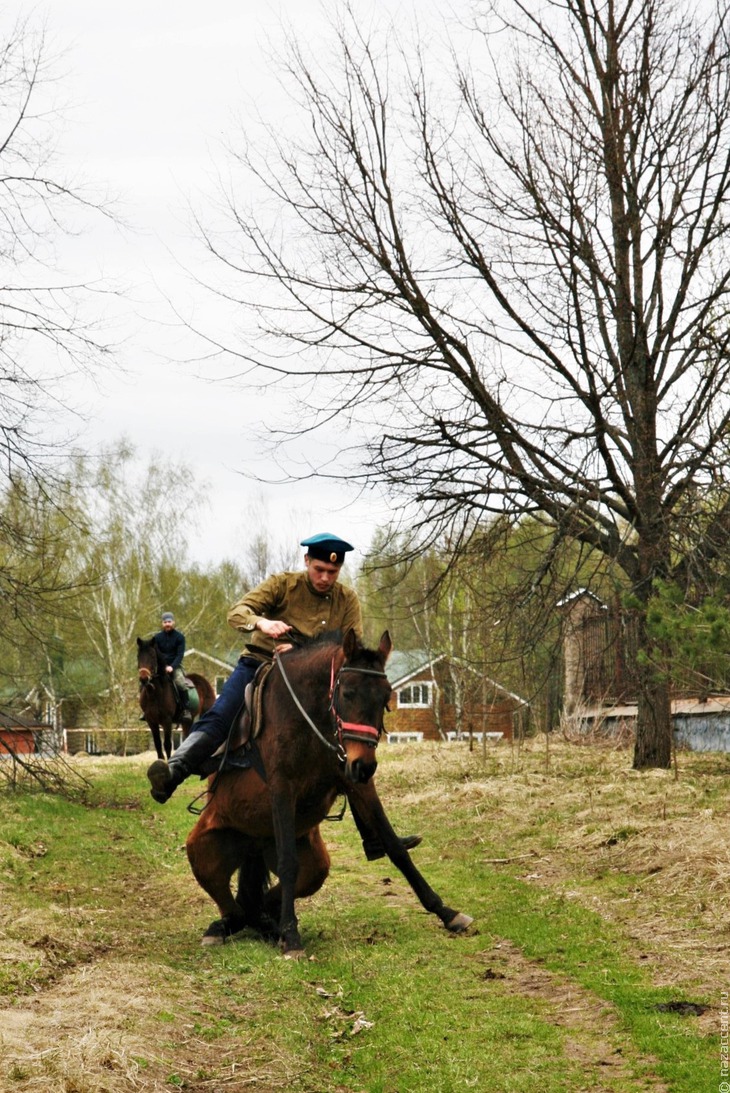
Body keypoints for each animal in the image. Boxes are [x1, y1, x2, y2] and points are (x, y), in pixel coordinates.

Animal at [185, 633, 476, 957]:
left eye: (386, 696)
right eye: (347, 693)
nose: (365, 765)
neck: (312, 720)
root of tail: (253, 845)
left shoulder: (357, 784)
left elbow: (396, 849)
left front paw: (446, 912)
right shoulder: (282, 788)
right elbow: (287, 862)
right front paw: (292, 937)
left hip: (315, 868)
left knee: (258, 903)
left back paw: (267, 923)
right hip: (200, 850)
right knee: (235, 909)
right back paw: (229, 927)